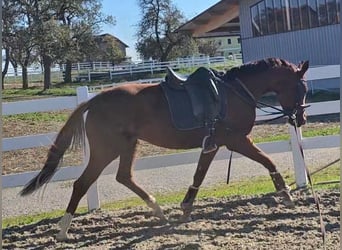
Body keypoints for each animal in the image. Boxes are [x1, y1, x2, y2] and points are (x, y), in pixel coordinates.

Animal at [20, 58, 310, 240]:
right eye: (302, 87)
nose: (302, 118)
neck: (234, 92)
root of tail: (95, 100)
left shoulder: (213, 144)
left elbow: (199, 175)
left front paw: (186, 208)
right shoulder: (236, 140)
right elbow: (268, 161)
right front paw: (286, 193)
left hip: (128, 145)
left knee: (124, 176)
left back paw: (158, 211)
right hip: (106, 150)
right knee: (82, 183)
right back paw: (62, 231)